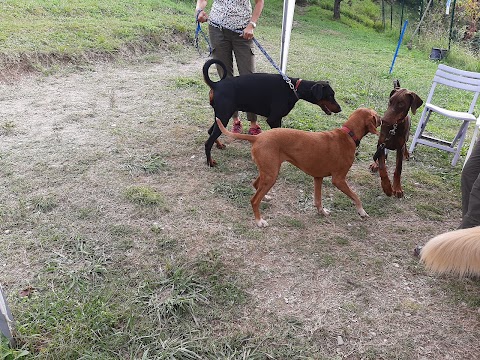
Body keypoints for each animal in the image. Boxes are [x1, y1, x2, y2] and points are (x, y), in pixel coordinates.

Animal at [202, 58, 342, 166]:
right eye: (330, 95)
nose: (340, 109)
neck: (294, 88)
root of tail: (216, 85)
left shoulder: (278, 119)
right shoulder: (273, 119)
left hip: (221, 116)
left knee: (210, 131)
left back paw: (219, 145)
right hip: (224, 115)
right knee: (208, 142)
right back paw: (210, 162)